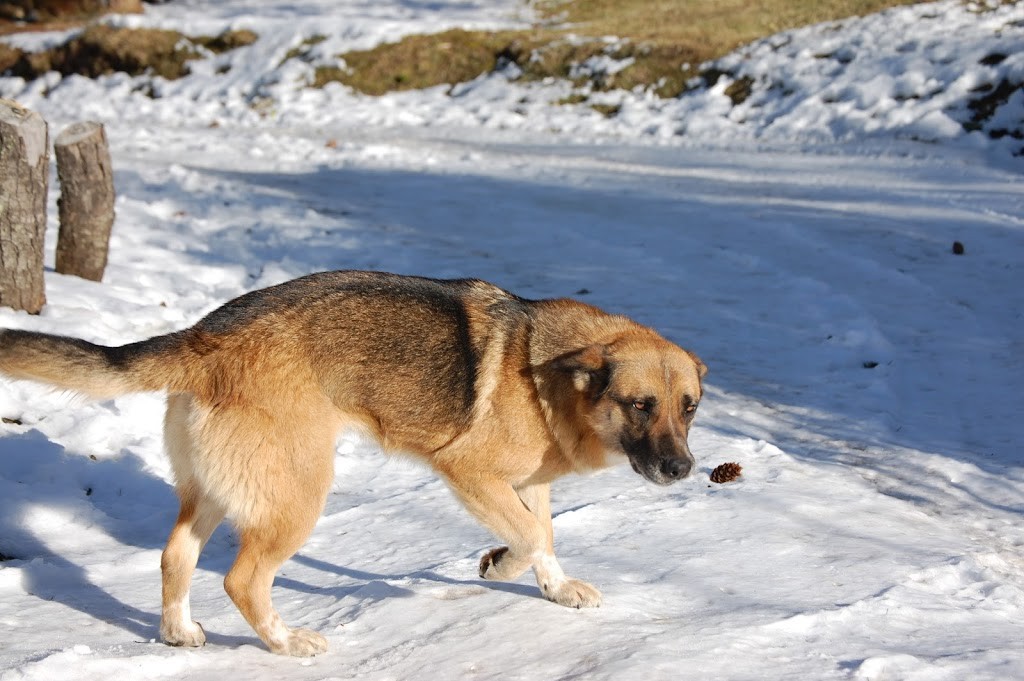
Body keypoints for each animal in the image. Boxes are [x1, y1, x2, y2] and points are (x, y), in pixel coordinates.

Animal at [0, 270, 704, 655]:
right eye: (640, 405)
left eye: (689, 408)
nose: (682, 471)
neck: (547, 374)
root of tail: (206, 336)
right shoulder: (471, 472)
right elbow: (530, 536)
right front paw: (499, 565)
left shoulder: (528, 483)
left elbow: (547, 537)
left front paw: (554, 589)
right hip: (298, 493)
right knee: (242, 580)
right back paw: (286, 644)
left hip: (221, 490)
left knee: (176, 555)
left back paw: (178, 634)